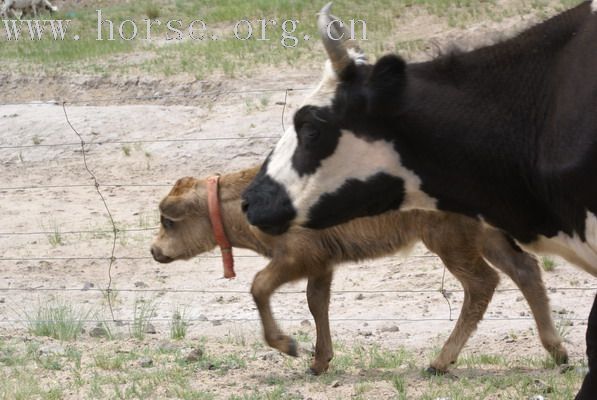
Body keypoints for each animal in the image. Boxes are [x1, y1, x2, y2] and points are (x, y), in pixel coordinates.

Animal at [151, 166, 564, 376]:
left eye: (168, 221)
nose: (155, 251)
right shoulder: (322, 263)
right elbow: (316, 303)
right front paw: (319, 361)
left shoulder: (297, 257)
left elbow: (259, 287)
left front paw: (289, 346)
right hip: (486, 235)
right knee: (525, 269)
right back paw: (558, 353)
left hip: (450, 241)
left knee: (482, 283)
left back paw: (439, 362)